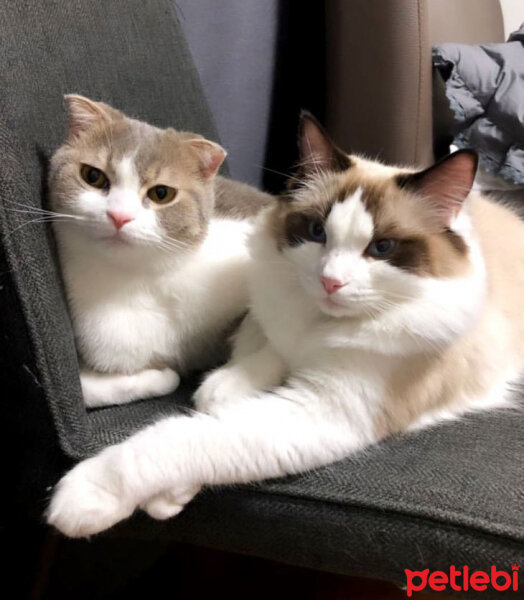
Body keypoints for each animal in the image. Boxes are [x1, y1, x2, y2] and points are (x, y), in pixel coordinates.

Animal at [49, 96, 272, 410]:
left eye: (161, 193)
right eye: (92, 176)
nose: (119, 216)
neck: (137, 281)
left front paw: (231, 381)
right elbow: (84, 389)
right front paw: (161, 378)